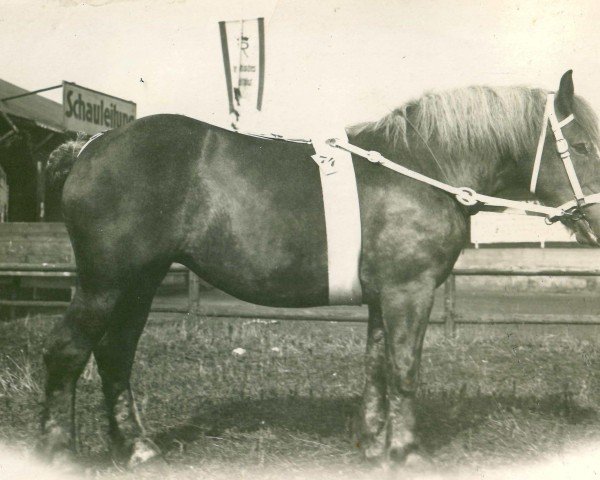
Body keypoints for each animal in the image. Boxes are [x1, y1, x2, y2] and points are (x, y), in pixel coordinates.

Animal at [41, 71, 600, 464]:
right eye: (585, 145)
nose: (597, 221)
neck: (425, 169)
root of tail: (90, 145)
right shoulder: (410, 291)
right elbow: (404, 367)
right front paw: (407, 452)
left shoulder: (384, 296)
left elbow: (376, 365)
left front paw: (374, 446)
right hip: (105, 282)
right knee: (67, 351)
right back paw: (59, 451)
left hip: (141, 282)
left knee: (115, 354)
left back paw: (138, 448)